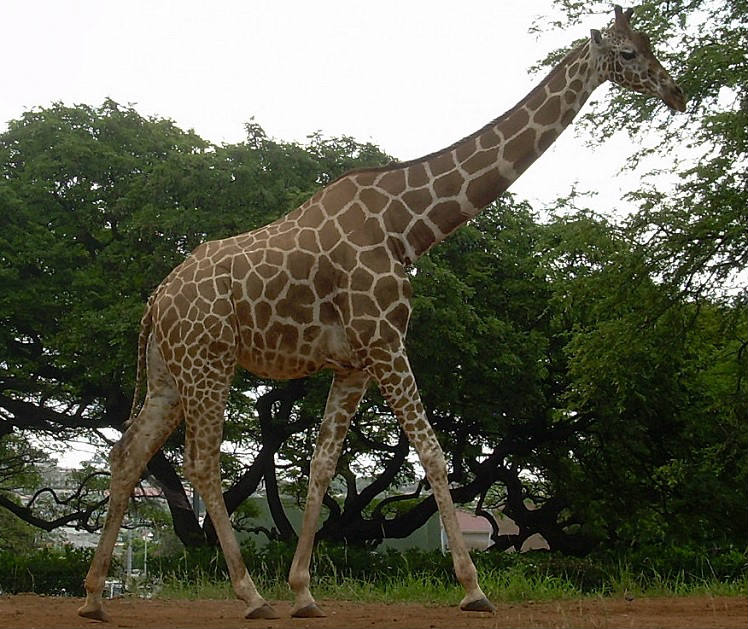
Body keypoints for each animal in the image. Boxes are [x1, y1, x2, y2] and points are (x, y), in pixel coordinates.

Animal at [79, 5, 685, 621]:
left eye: (649, 43)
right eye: (629, 53)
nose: (677, 92)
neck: (408, 225)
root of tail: (155, 301)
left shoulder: (355, 363)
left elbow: (322, 466)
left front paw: (304, 592)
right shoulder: (388, 341)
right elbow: (433, 453)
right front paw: (473, 588)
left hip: (169, 375)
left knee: (128, 454)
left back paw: (94, 597)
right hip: (209, 363)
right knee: (201, 463)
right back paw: (250, 596)